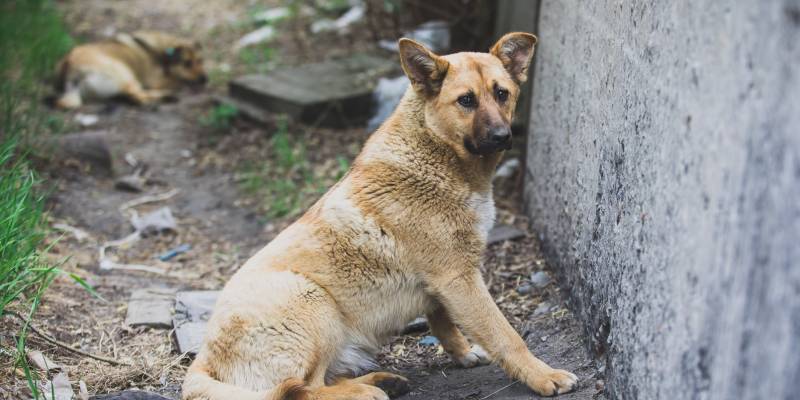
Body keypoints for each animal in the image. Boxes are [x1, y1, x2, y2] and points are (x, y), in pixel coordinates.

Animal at [54, 30, 206, 109]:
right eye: (187, 63)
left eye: (201, 60)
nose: (205, 79)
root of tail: (70, 67)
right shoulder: (156, 81)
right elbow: (179, 80)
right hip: (124, 73)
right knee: (139, 97)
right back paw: (167, 97)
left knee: (133, 97)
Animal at [184, 32, 580, 400]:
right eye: (466, 100)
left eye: (502, 94)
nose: (502, 136)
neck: (436, 153)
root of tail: (202, 362)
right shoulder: (459, 279)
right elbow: (505, 334)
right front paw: (542, 375)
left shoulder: (446, 285)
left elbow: (444, 323)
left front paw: (464, 353)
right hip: (315, 303)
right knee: (302, 388)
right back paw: (364, 391)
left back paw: (381, 380)